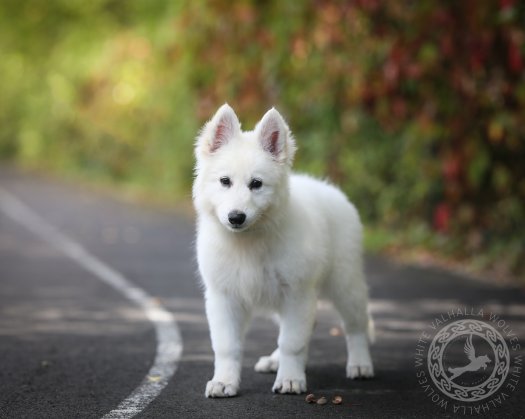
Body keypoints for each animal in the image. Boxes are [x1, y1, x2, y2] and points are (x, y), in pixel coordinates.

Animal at [192, 104, 372, 398]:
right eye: (224, 181)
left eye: (256, 184)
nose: (236, 217)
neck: (249, 242)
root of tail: (330, 189)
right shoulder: (224, 297)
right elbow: (228, 346)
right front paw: (224, 381)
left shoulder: (297, 293)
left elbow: (292, 342)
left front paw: (290, 379)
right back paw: (273, 361)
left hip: (345, 284)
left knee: (356, 325)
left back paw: (360, 364)